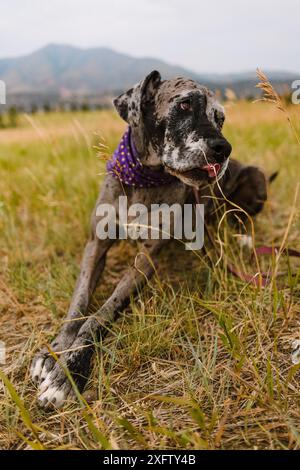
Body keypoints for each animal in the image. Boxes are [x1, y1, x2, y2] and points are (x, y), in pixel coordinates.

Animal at [29, 69, 266, 408]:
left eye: (219, 118)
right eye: (184, 104)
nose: (223, 148)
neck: (143, 179)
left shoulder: (146, 260)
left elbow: (99, 315)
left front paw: (68, 373)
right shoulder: (95, 247)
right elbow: (78, 305)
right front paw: (53, 352)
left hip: (256, 177)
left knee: (240, 217)